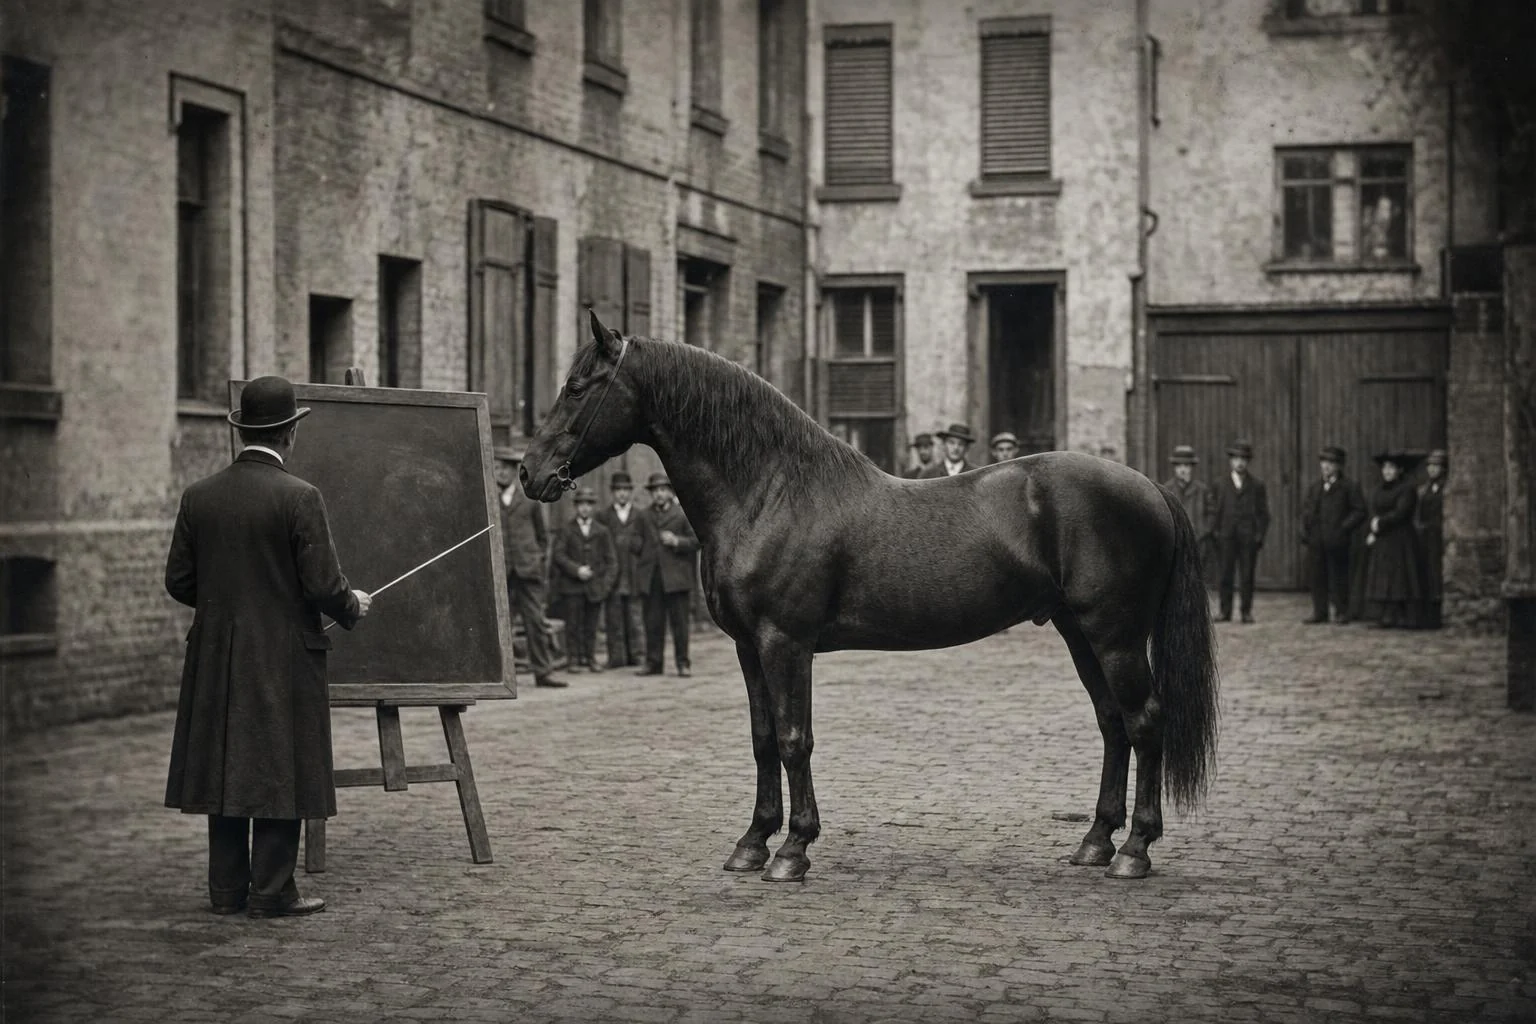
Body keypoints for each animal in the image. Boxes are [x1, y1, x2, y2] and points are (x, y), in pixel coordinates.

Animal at [519, 309, 1219, 883]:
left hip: (1115, 636)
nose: (529, 473)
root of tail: (1151, 487)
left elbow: (795, 738)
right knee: (1112, 724)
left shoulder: (785, 643)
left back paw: (1135, 851)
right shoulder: (749, 648)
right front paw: (752, 843)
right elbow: (763, 739)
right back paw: (1096, 842)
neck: (769, 491)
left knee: (1144, 721)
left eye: (578, 387)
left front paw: (792, 851)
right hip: (1080, 633)